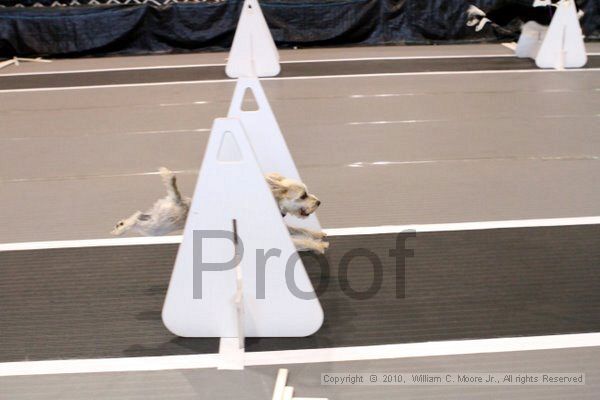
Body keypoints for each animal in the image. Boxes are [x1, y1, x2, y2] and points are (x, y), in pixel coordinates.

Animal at [112, 168, 328, 253]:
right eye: (303, 195)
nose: (319, 202)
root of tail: (178, 198)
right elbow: (300, 240)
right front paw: (318, 246)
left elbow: (302, 230)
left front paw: (318, 235)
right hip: (158, 227)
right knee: (137, 221)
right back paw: (120, 229)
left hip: (158, 219)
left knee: (140, 214)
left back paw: (120, 223)